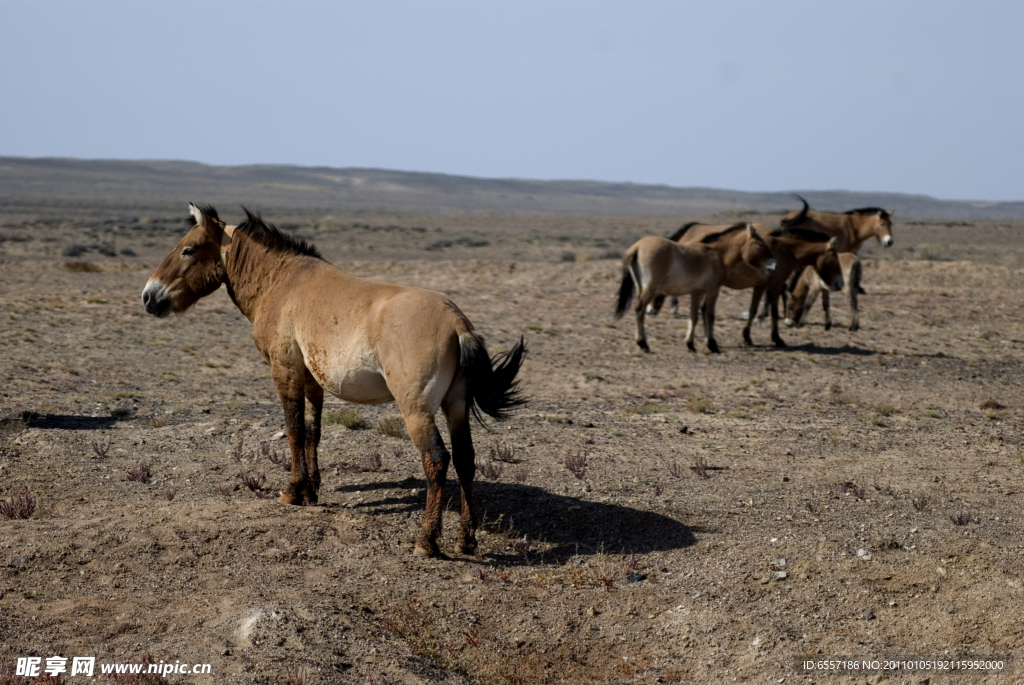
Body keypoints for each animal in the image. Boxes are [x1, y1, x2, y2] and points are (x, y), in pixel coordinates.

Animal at [142, 202, 528, 557]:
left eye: (188, 249)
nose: (149, 296)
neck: (281, 282)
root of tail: (457, 323)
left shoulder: (285, 372)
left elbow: (294, 430)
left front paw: (291, 492)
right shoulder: (313, 380)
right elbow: (313, 432)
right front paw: (312, 492)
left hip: (417, 410)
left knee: (437, 460)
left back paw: (426, 541)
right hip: (456, 406)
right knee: (465, 459)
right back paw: (466, 540)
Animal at [614, 224, 774, 352]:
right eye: (760, 244)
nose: (773, 265)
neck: (716, 254)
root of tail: (637, 247)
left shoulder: (697, 293)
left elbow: (694, 317)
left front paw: (690, 344)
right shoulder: (713, 290)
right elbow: (709, 315)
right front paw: (712, 345)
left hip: (641, 288)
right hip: (650, 289)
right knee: (639, 310)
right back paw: (643, 344)